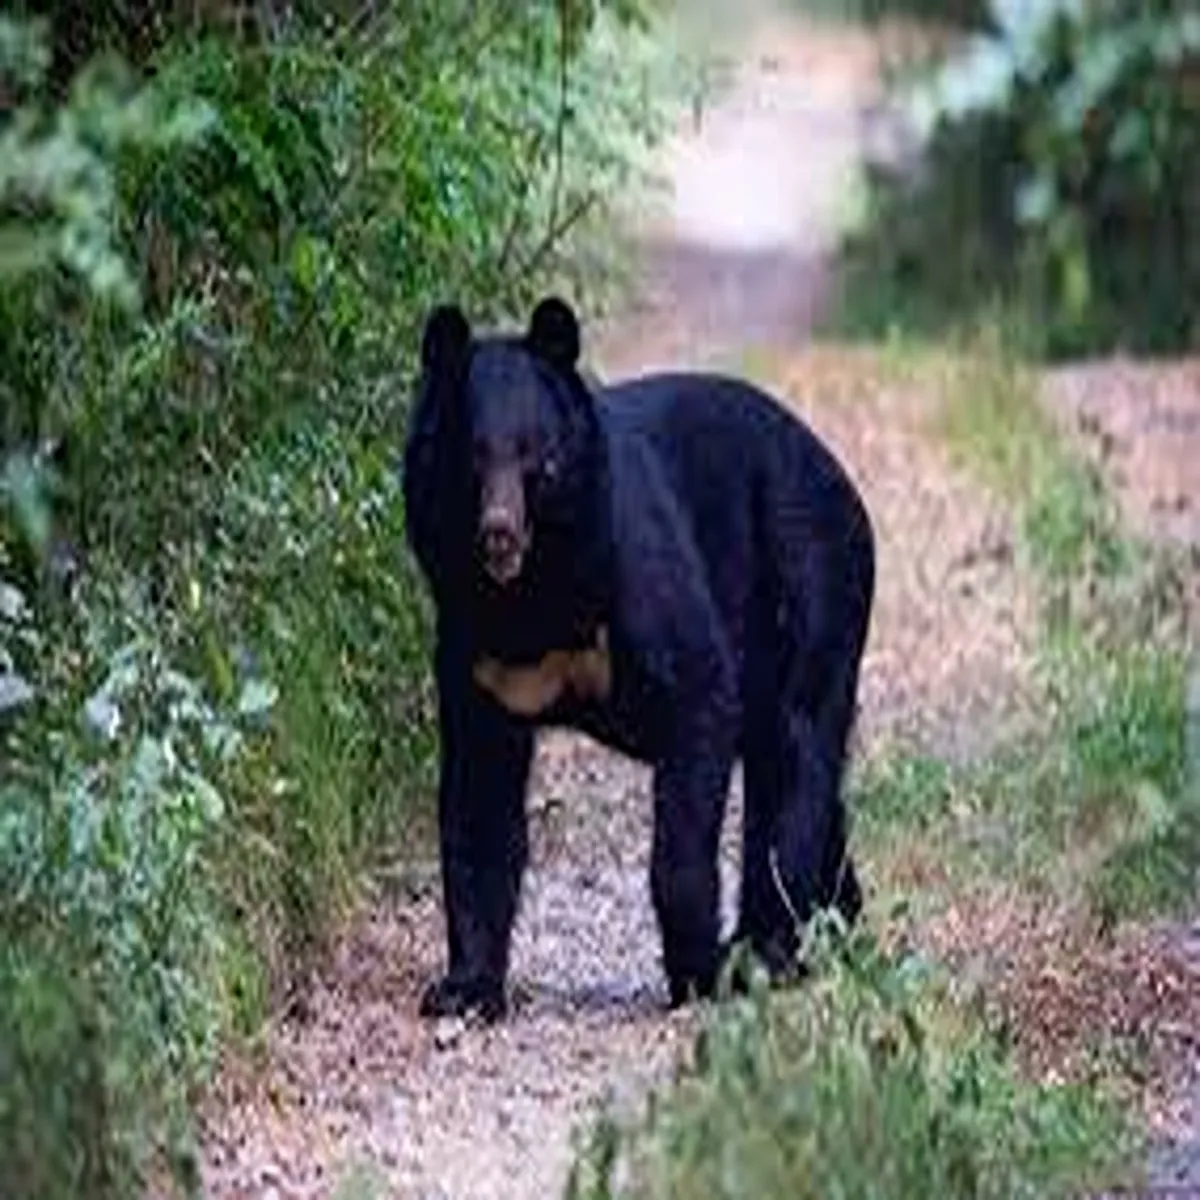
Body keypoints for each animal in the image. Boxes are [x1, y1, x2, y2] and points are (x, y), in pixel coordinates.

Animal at [402, 295, 875, 1023]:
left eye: (536, 458)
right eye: (472, 458)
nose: (499, 535)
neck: (530, 600)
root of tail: (844, 483)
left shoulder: (636, 574)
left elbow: (697, 695)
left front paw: (697, 970)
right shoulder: (475, 652)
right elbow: (479, 805)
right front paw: (462, 988)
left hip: (811, 583)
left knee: (795, 762)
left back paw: (765, 947)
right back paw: (837, 924)